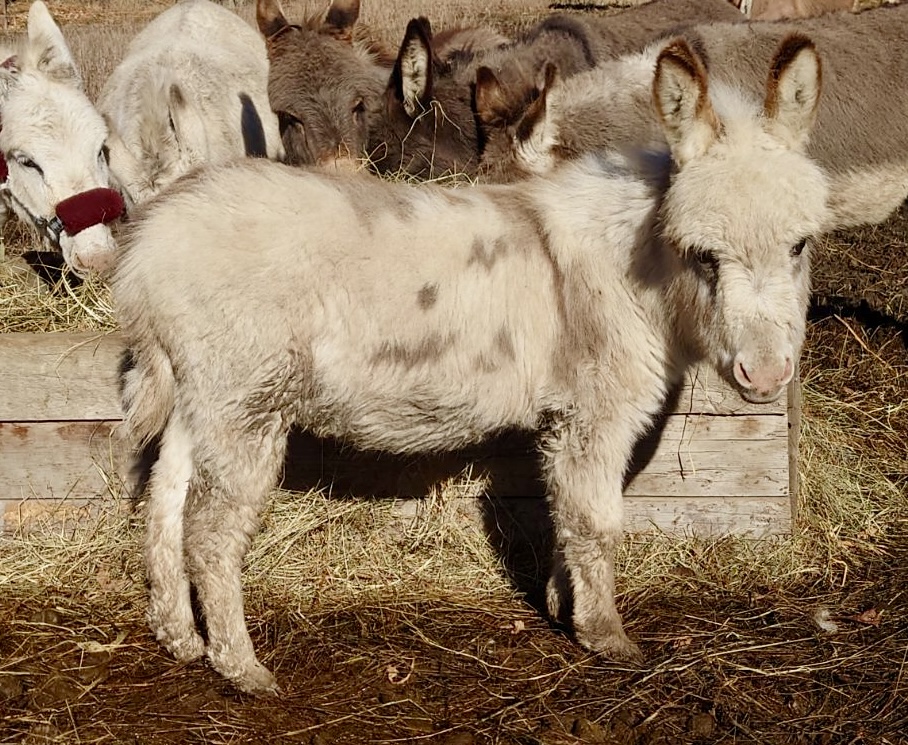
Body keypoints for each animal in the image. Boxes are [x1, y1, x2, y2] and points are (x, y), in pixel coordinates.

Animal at [115, 35, 828, 692]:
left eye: (800, 246)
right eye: (703, 255)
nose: (767, 376)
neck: (631, 264)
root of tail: (152, 239)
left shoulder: (564, 419)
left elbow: (564, 511)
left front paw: (561, 606)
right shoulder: (597, 412)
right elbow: (597, 522)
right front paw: (607, 637)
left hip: (203, 395)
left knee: (165, 499)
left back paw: (179, 637)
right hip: (247, 399)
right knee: (212, 530)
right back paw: (242, 668)